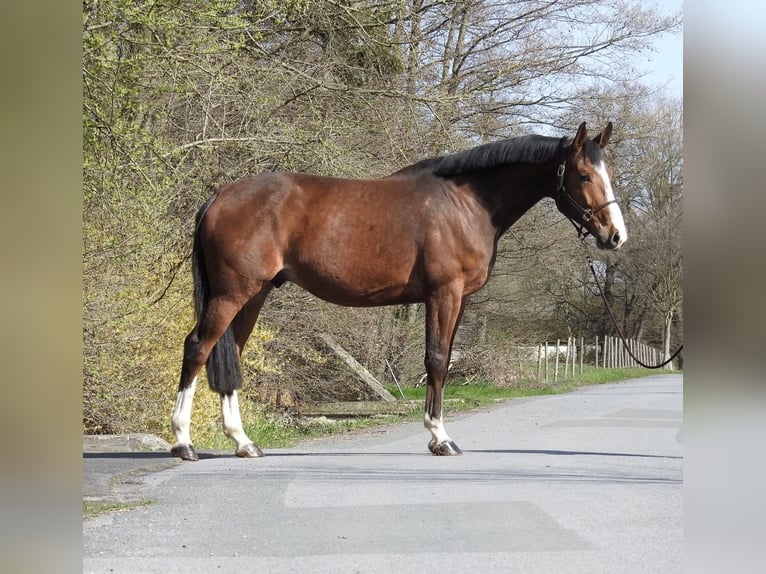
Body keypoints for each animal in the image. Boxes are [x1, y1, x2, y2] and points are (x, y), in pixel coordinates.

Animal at [170, 121, 626, 461]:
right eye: (584, 175)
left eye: (609, 175)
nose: (616, 236)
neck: (466, 204)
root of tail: (218, 197)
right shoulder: (444, 294)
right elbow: (437, 361)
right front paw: (440, 437)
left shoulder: (459, 300)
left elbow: (442, 361)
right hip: (232, 294)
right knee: (197, 347)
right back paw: (184, 442)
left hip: (254, 294)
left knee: (231, 354)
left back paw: (243, 442)